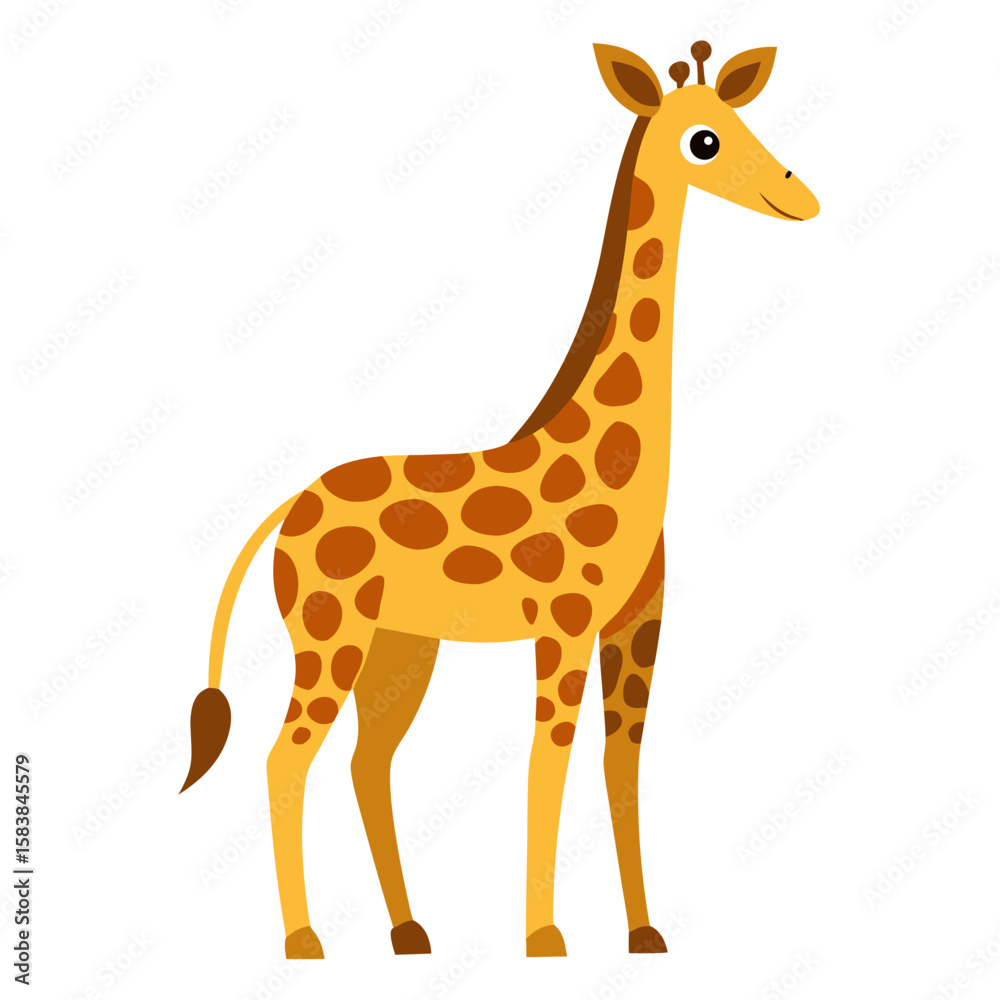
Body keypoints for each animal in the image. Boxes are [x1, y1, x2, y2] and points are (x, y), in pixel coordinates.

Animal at [181, 41, 819, 959]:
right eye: (704, 139)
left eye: (741, 118)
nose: (800, 194)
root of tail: (288, 509)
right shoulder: (563, 622)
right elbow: (544, 764)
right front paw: (545, 937)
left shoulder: (639, 625)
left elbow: (619, 767)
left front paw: (643, 932)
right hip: (328, 634)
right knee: (286, 757)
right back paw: (305, 940)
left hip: (401, 648)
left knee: (367, 762)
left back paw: (409, 931)